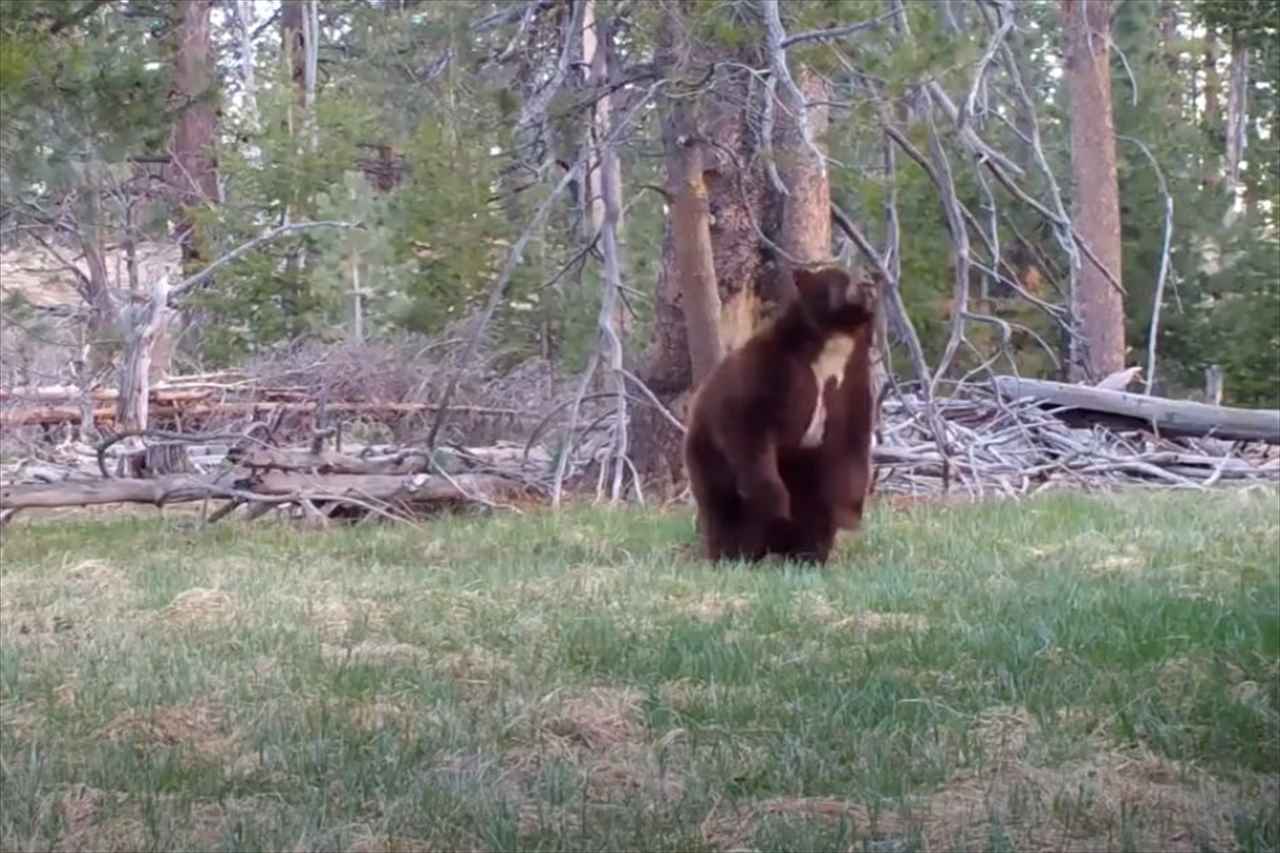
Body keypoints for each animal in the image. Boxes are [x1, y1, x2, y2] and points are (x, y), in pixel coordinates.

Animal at [680, 262, 880, 560]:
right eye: (841, 277)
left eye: (862, 273)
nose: (868, 284)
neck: (835, 342)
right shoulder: (775, 370)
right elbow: (748, 424)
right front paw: (773, 499)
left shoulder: (851, 385)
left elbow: (852, 440)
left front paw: (851, 512)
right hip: (708, 457)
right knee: (724, 508)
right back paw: (735, 552)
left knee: (814, 512)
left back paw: (805, 554)